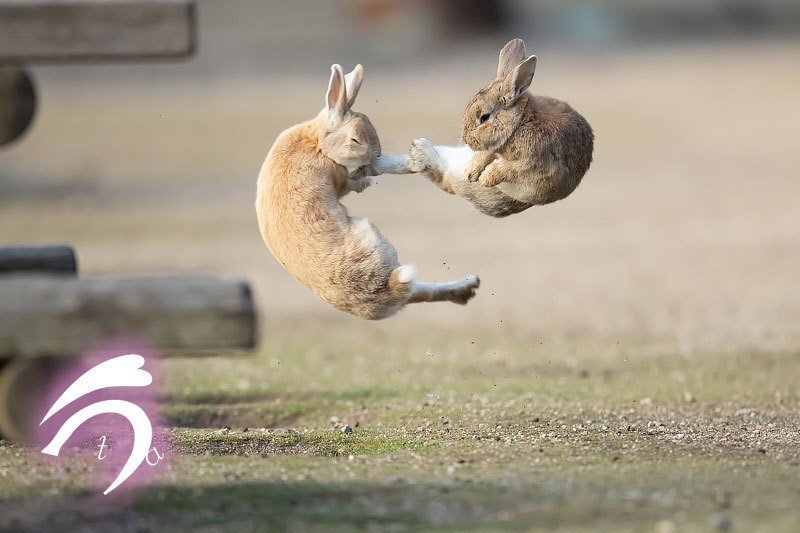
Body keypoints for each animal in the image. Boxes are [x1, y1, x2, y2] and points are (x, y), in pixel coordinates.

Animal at [258, 62, 482, 320]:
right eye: (355, 139)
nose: (376, 154)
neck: (318, 143)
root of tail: (385, 291)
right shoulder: (341, 177)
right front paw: (393, 168)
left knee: (420, 292)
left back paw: (468, 286)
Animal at [372, 38, 592, 218]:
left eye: (484, 117)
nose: (466, 139)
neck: (519, 123)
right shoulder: (491, 148)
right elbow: (486, 156)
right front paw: (472, 172)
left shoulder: (530, 163)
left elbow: (505, 169)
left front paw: (485, 178)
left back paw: (419, 151)